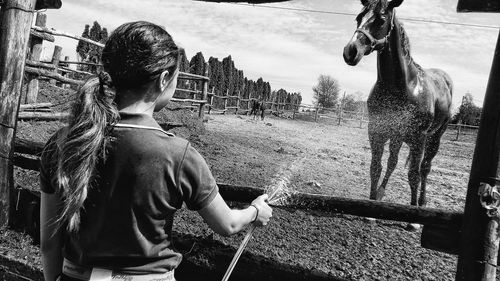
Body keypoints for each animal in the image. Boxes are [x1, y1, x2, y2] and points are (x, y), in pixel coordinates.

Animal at [344, 0, 454, 206]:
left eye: (381, 20)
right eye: (358, 18)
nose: (351, 51)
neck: (404, 86)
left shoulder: (419, 138)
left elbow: (413, 175)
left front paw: (414, 208)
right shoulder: (377, 130)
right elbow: (376, 167)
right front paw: (374, 197)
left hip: (432, 139)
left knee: (425, 168)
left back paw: (422, 200)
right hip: (399, 137)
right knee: (393, 162)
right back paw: (382, 192)